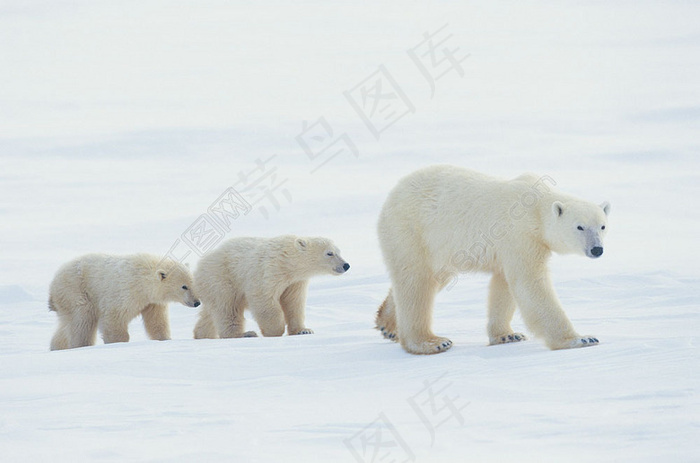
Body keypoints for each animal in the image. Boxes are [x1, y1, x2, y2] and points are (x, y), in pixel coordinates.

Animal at [374, 167, 608, 356]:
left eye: (602, 226)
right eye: (580, 226)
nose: (597, 249)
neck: (536, 209)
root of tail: (392, 194)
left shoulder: (510, 248)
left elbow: (504, 286)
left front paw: (507, 335)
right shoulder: (520, 235)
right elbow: (530, 284)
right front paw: (581, 339)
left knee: (431, 279)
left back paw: (388, 324)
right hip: (412, 230)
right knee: (417, 283)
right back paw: (432, 342)